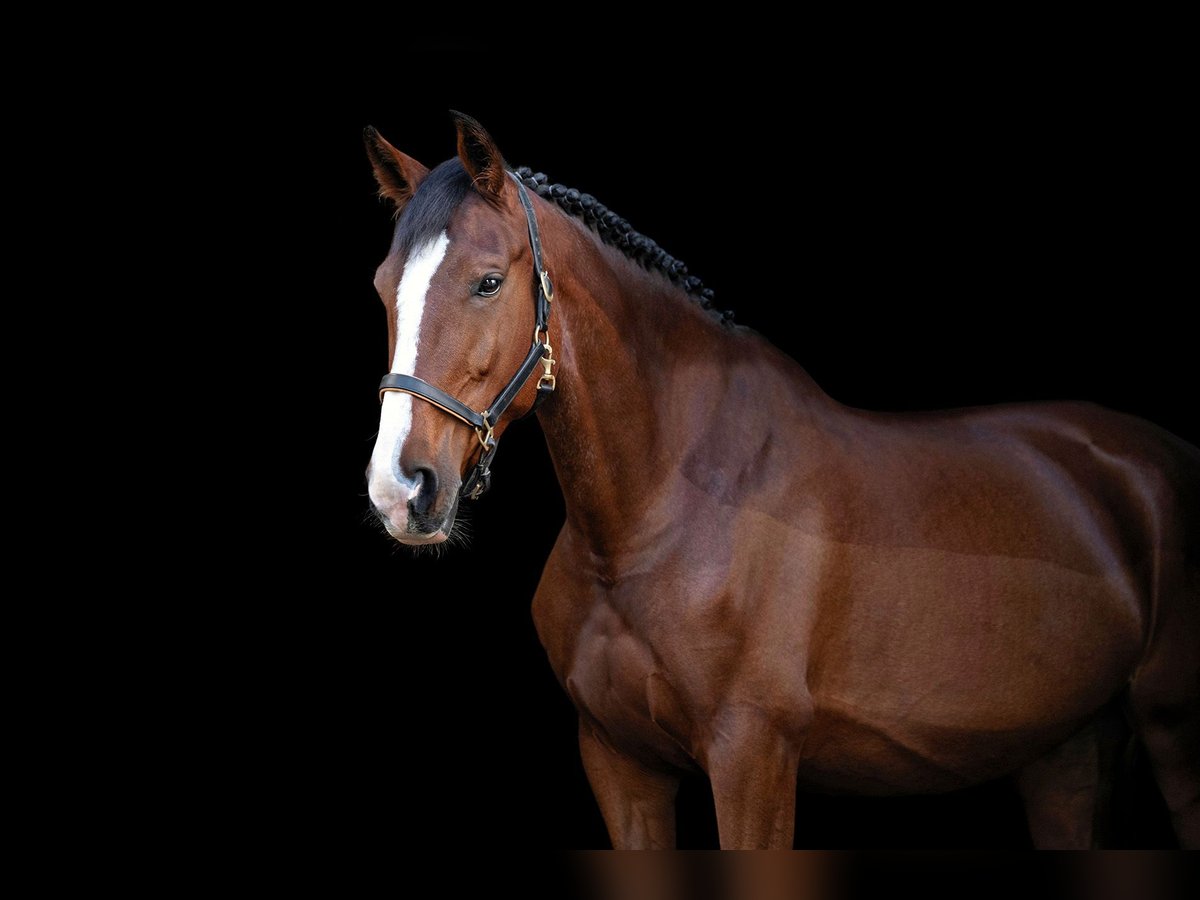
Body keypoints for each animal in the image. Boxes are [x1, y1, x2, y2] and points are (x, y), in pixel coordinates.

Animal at [362, 112, 1200, 854]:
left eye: (487, 282)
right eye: (381, 287)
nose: (401, 489)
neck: (652, 521)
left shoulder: (752, 756)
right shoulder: (620, 764)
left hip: (1169, 729)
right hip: (1067, 751)